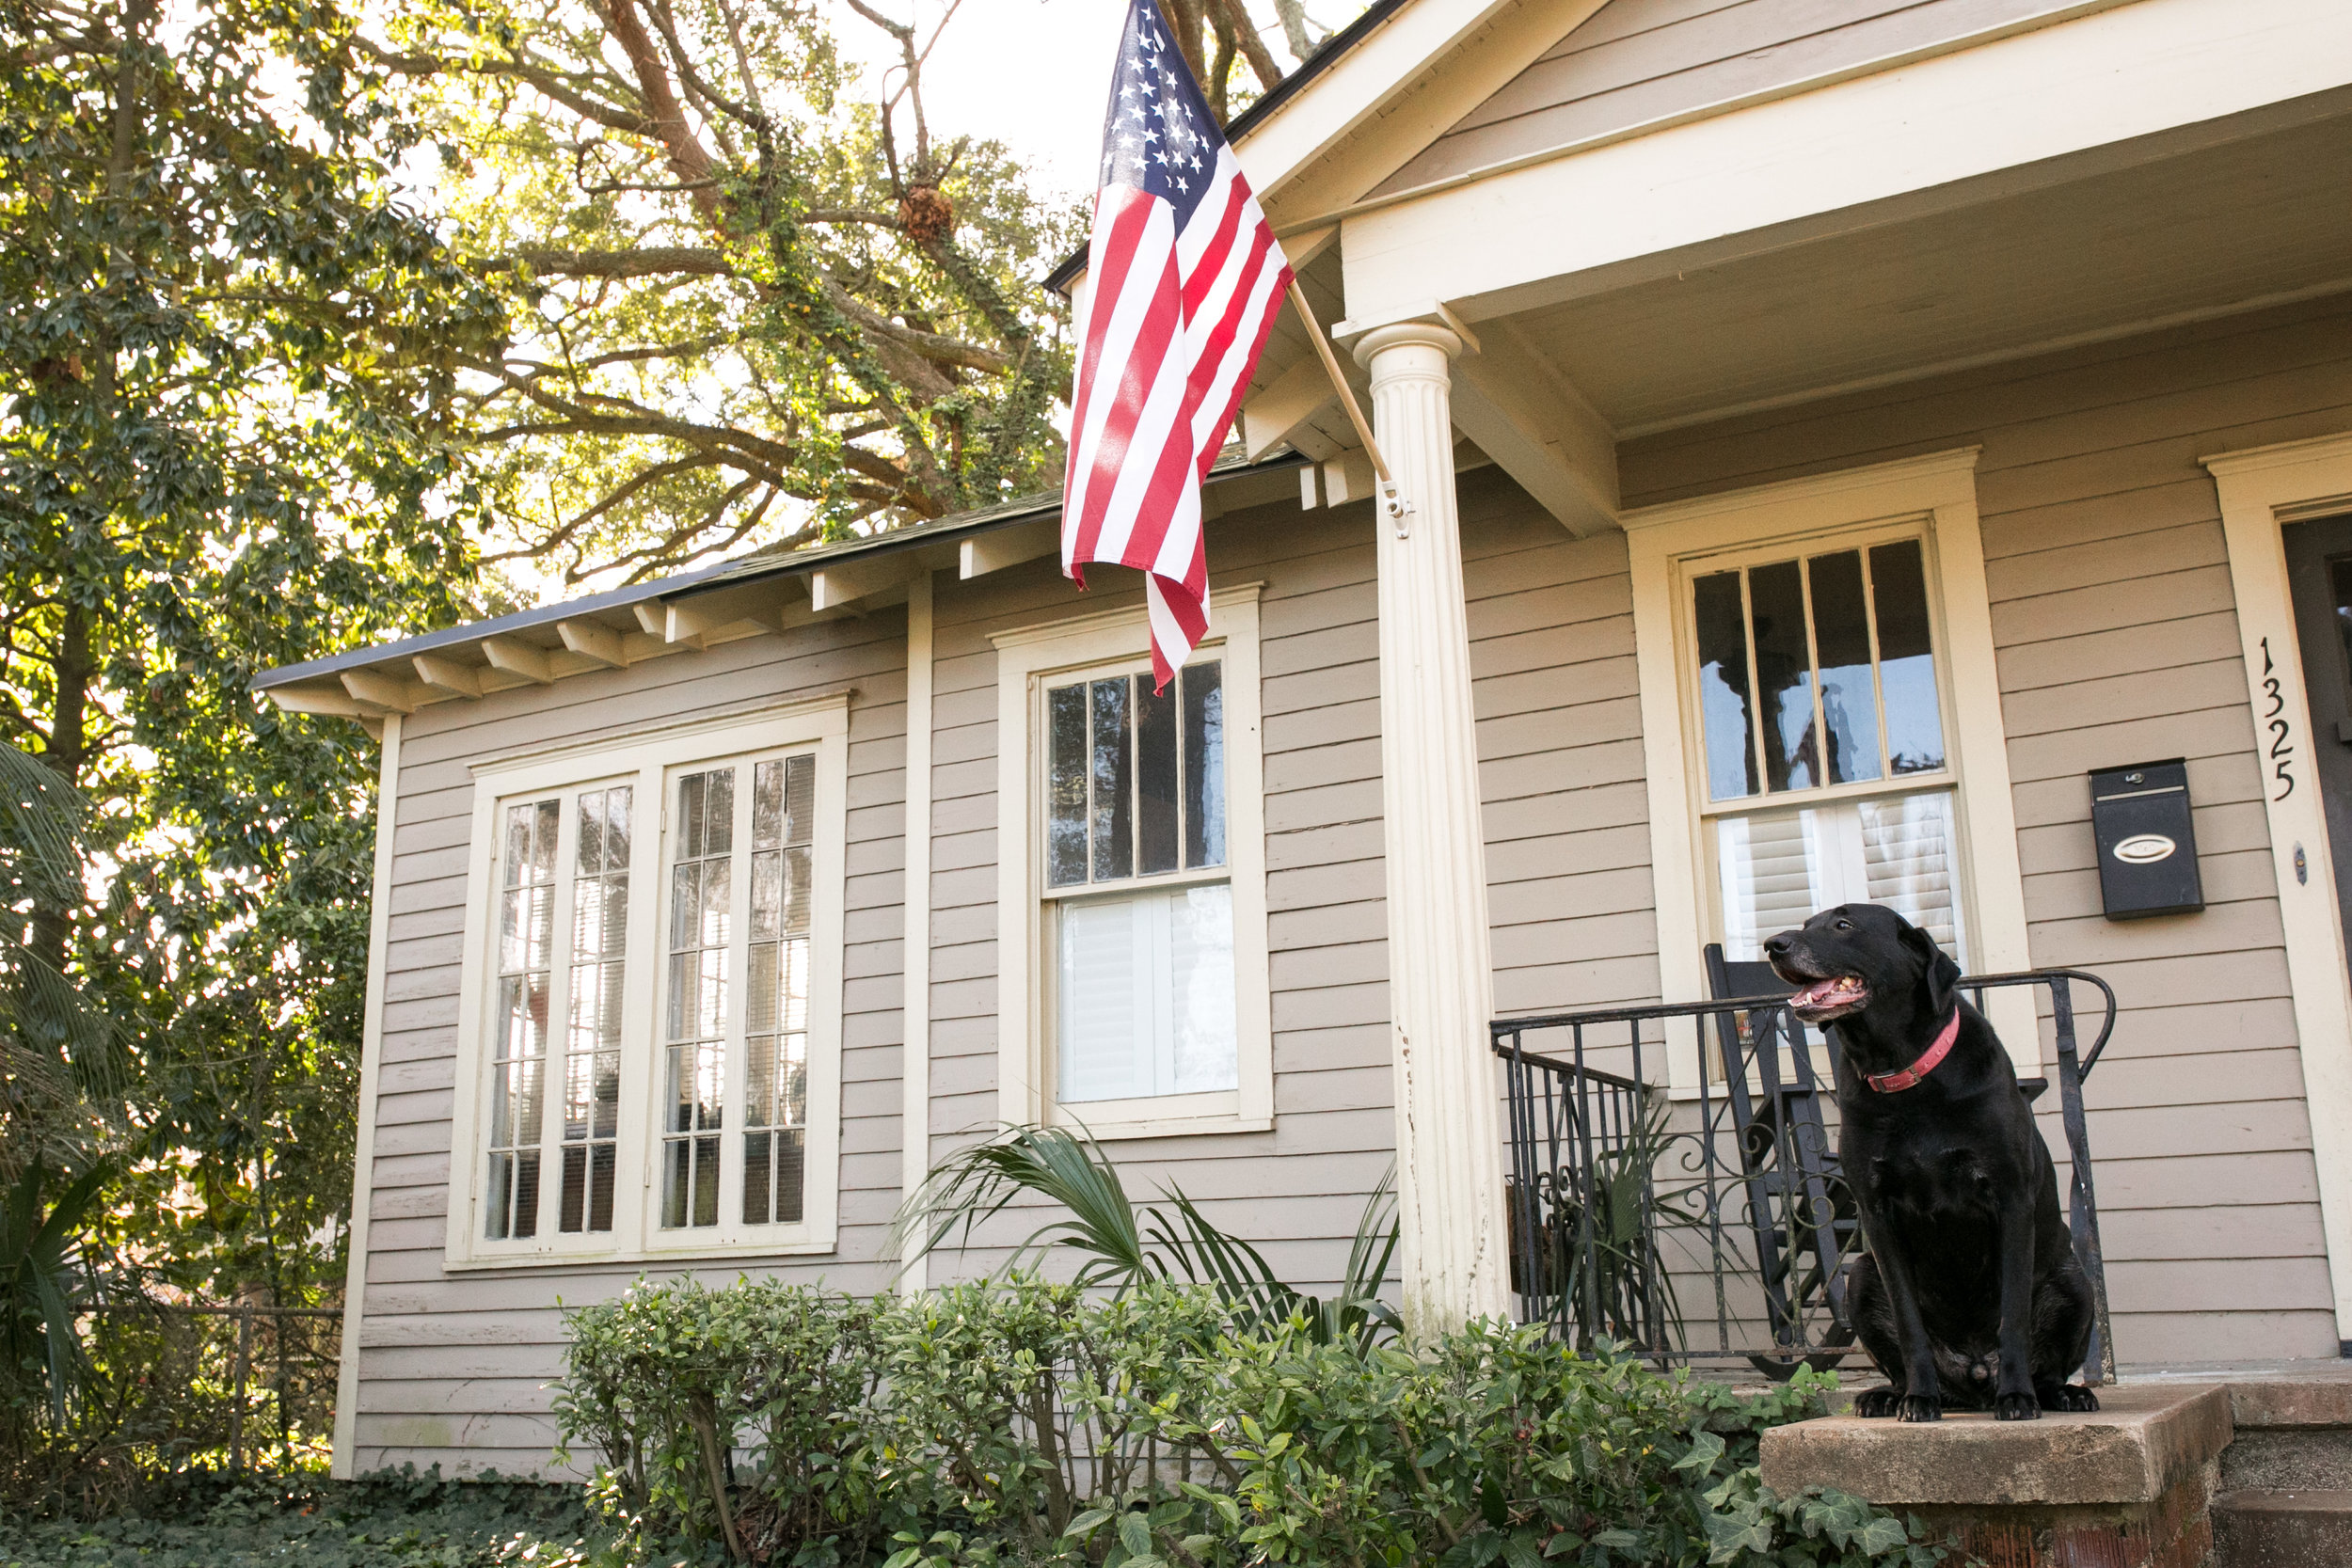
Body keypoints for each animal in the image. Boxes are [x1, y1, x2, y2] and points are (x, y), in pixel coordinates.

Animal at [1769, 893, 2098, 1419]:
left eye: (1844, 925)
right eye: (1806, 922)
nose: (1773, 945)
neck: (1904, 1072)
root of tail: (1974, 1379)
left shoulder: (2010, 1200)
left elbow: (2013, 1317)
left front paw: (2017, 1396)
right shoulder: (1878, 1215)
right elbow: (1909, 1326)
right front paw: (1918, 1399)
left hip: (2074, 1281)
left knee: (2049, 1364)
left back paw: (2059, 1392)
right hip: (1862, 1277)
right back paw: (1891, 1394)